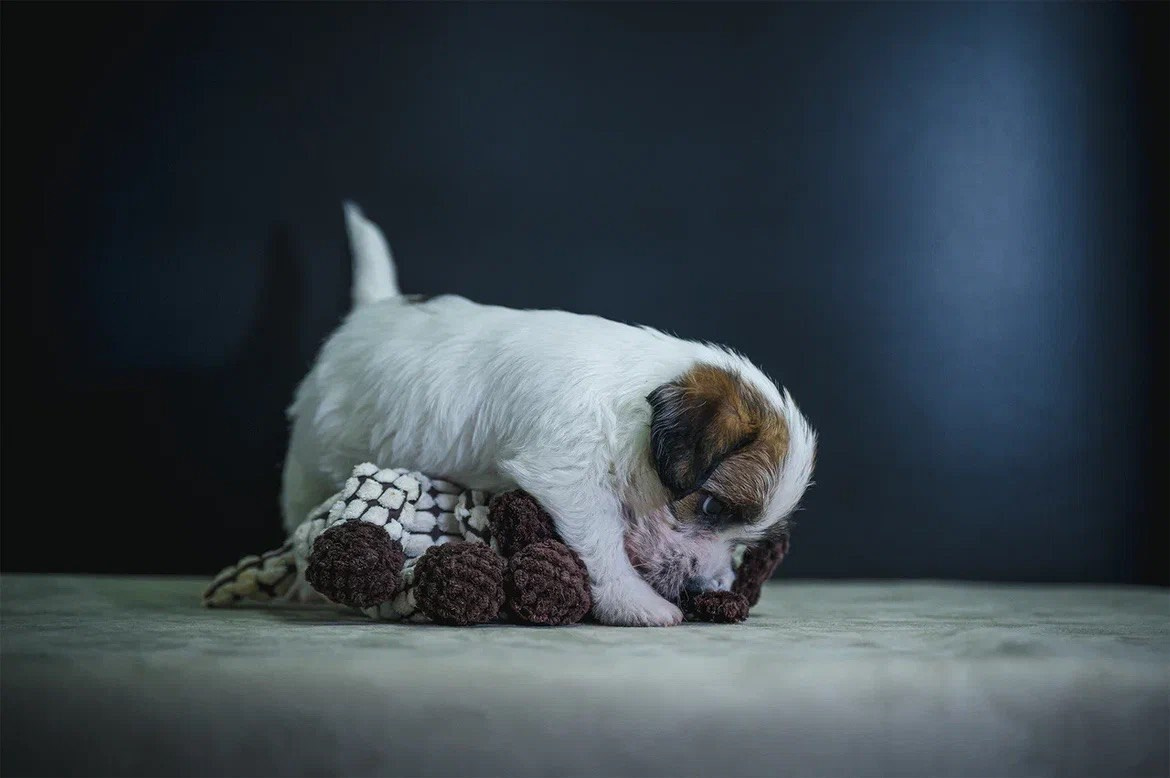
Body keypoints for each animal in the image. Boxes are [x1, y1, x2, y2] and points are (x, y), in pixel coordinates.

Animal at [281, 203, 817, 626]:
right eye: (710, 508)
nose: (703, 586)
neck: (625, 406)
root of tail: (370, 313)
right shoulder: (568, 473)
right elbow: (602, 539)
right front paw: (635, 602)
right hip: (308, 462)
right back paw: (303, 584)